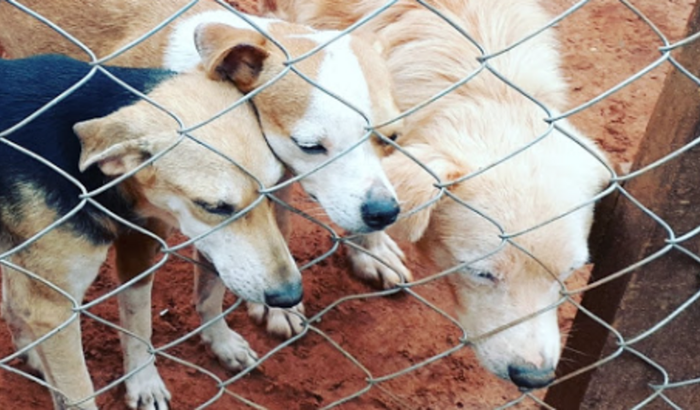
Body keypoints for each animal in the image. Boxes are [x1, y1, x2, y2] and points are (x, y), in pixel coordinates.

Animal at [0, 0, 410, 347]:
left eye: (392, 137)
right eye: (310, 145)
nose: (383, 213)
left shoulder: (259, 199)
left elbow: (240, 268)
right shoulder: (154, 226)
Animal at [0, 53, 303, 409]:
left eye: (273, 187)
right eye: (214, 207)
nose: (290, 296)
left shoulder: (140, 248)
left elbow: (141, 322)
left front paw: (151, 378)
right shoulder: (54, 307)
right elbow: (79, 391)